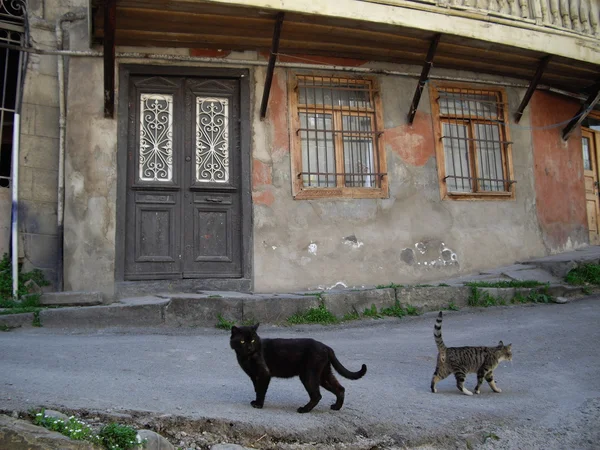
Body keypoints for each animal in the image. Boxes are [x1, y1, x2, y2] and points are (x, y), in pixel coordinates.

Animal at [231, 322, 366, 414]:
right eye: (243, 341)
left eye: (253, 340)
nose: (250, 348)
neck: (246, 358)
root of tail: (326, 347)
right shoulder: (254, 376)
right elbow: (257, 388)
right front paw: (256, 401)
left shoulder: (264, 373)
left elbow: (261, 390)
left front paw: (258, 404)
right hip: (323, 375)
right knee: (340, 388)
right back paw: (336, 407)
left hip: (309, 375)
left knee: (317, 395)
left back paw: (304, 409)